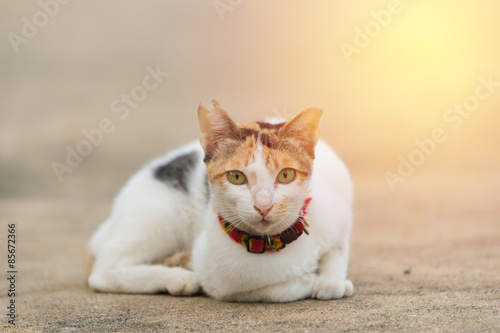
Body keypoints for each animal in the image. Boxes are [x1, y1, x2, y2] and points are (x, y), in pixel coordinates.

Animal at [88, 98, 354, 300]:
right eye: (236, 177)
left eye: (286, 175)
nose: (263, 206)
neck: (272, 242)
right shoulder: (219, 281)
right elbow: (264, 290)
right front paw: (308, 281)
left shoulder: (340, 204)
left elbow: (338, 250)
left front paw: (331, 281)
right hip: (157, 218)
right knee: (104, 271)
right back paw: (178, 277)